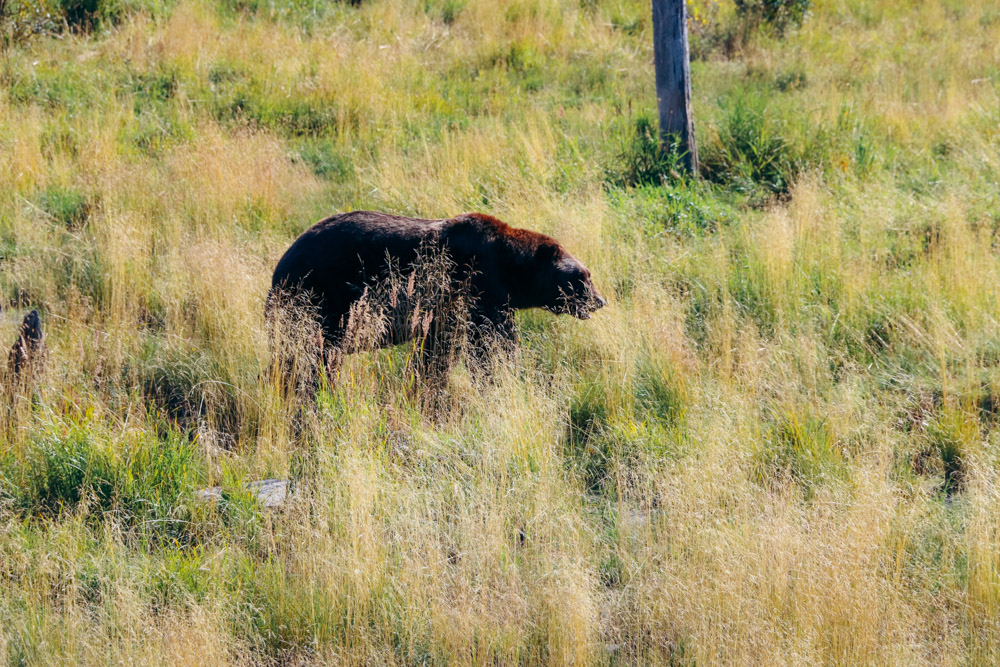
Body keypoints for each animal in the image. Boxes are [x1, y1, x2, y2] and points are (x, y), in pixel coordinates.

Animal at [266, 211, 604, 384]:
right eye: (583, 277)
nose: (600, 301)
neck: (510, 266)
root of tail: (281, 265)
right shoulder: (479, 285)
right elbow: (491, 344)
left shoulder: (448, 306)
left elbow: (438, 349)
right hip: (323, 297)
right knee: (314, 354)